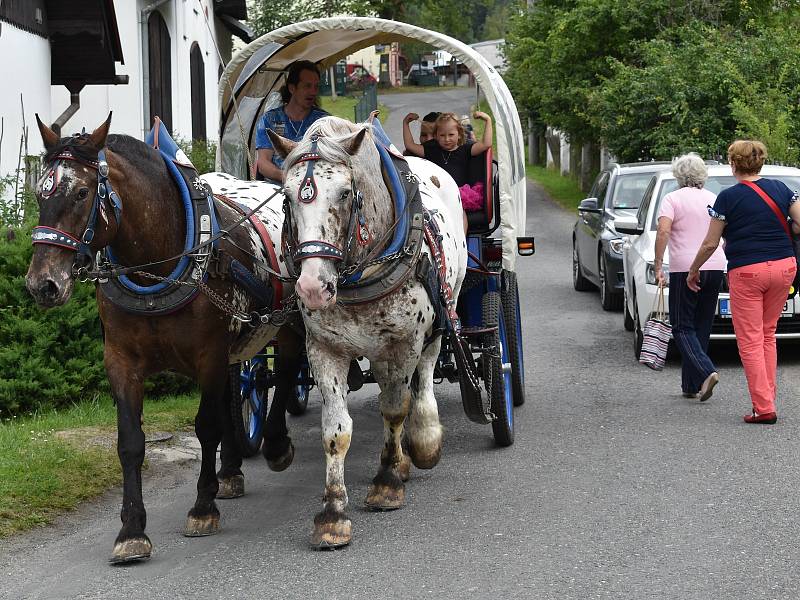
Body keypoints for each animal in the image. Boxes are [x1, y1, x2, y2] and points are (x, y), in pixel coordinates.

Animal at [26, 115, 304, 564]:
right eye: (40, 191)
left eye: (83, 192)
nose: (42, 284)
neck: (158, 265)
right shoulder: (121, 361)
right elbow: (130, 442)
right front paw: (131, 531)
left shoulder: (209, 355)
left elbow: (206, 426)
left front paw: (203, 507)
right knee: (238, 388)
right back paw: (231, 471)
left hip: (290, 320)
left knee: (288, 369)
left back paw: (276, 444)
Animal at [268, 116, 468, 548]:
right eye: (287, 197)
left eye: (345, 193)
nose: (312, 287)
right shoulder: (324, 348)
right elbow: (336, 430)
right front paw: (332, 514)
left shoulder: (402, 343)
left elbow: (395, 407)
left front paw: (388, 482)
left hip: (443, 312)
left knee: (423, 377)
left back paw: (422, 441)